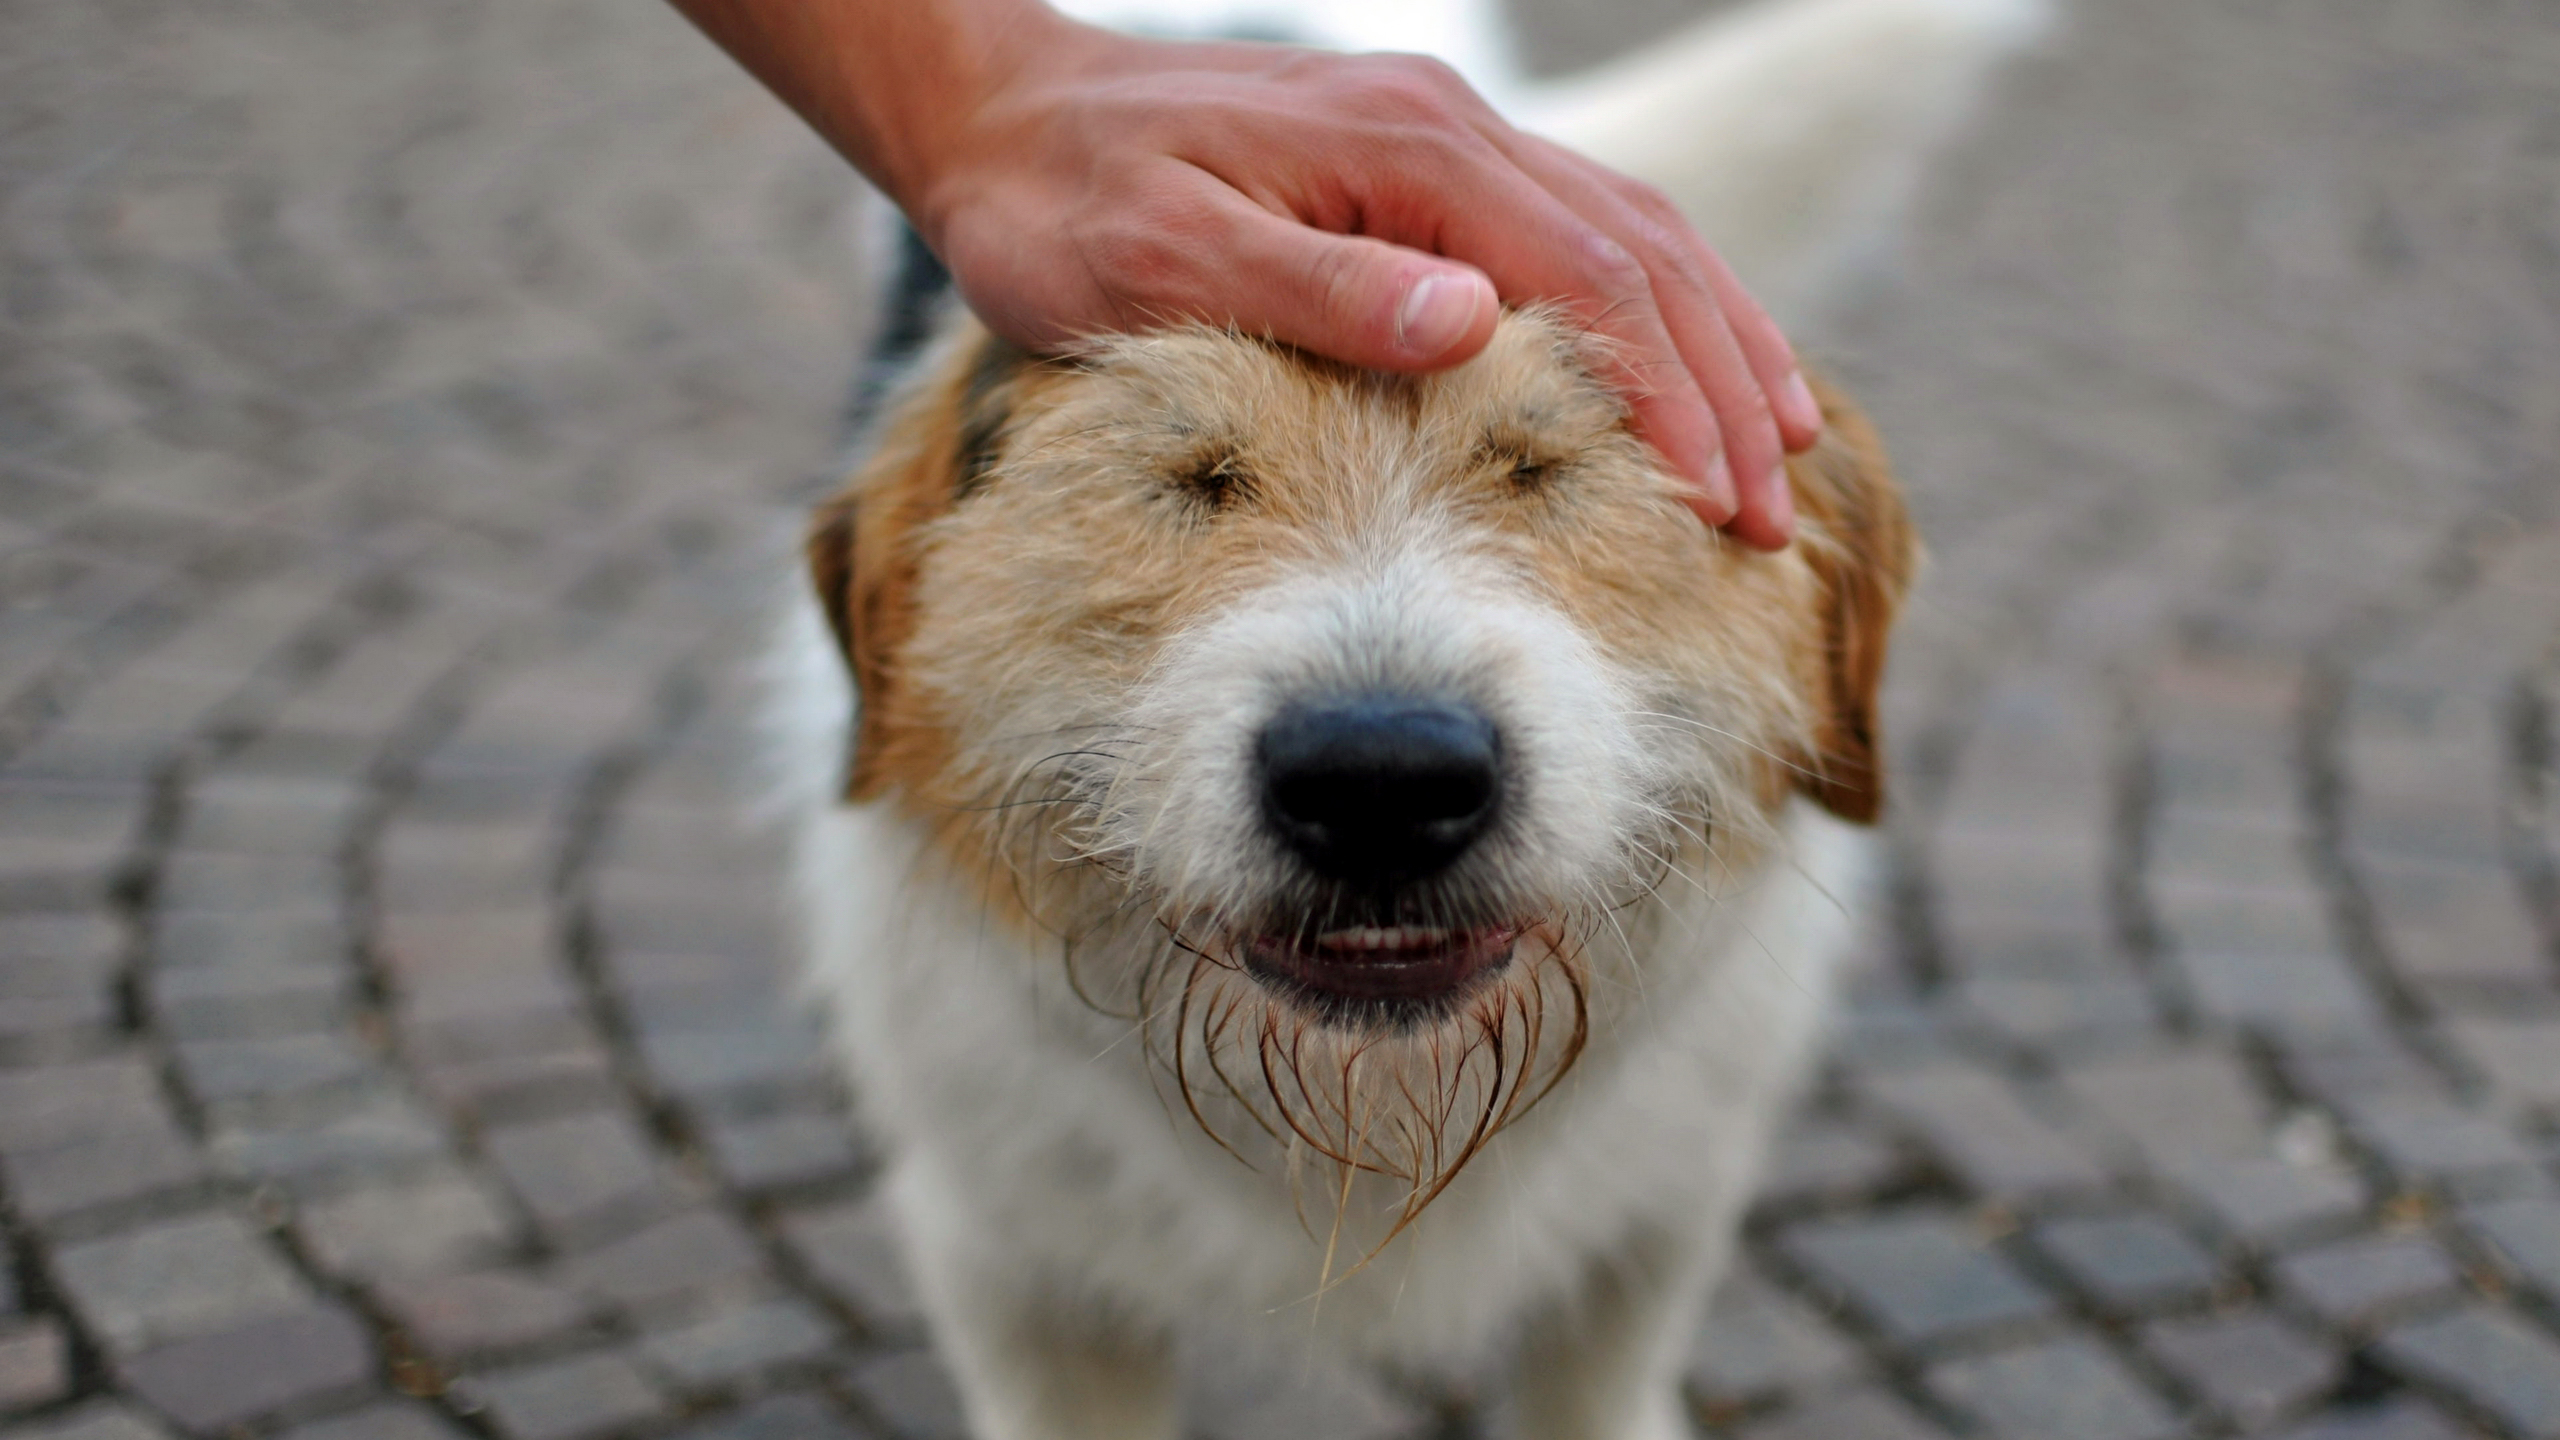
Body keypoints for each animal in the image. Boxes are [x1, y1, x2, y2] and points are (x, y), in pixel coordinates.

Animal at [778, 0, 2037, 1424]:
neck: (1366, 1122)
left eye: (1543, 469)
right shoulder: (1010, 1265)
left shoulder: (1652, 1231)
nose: (1377, 781)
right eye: (1189, 476)